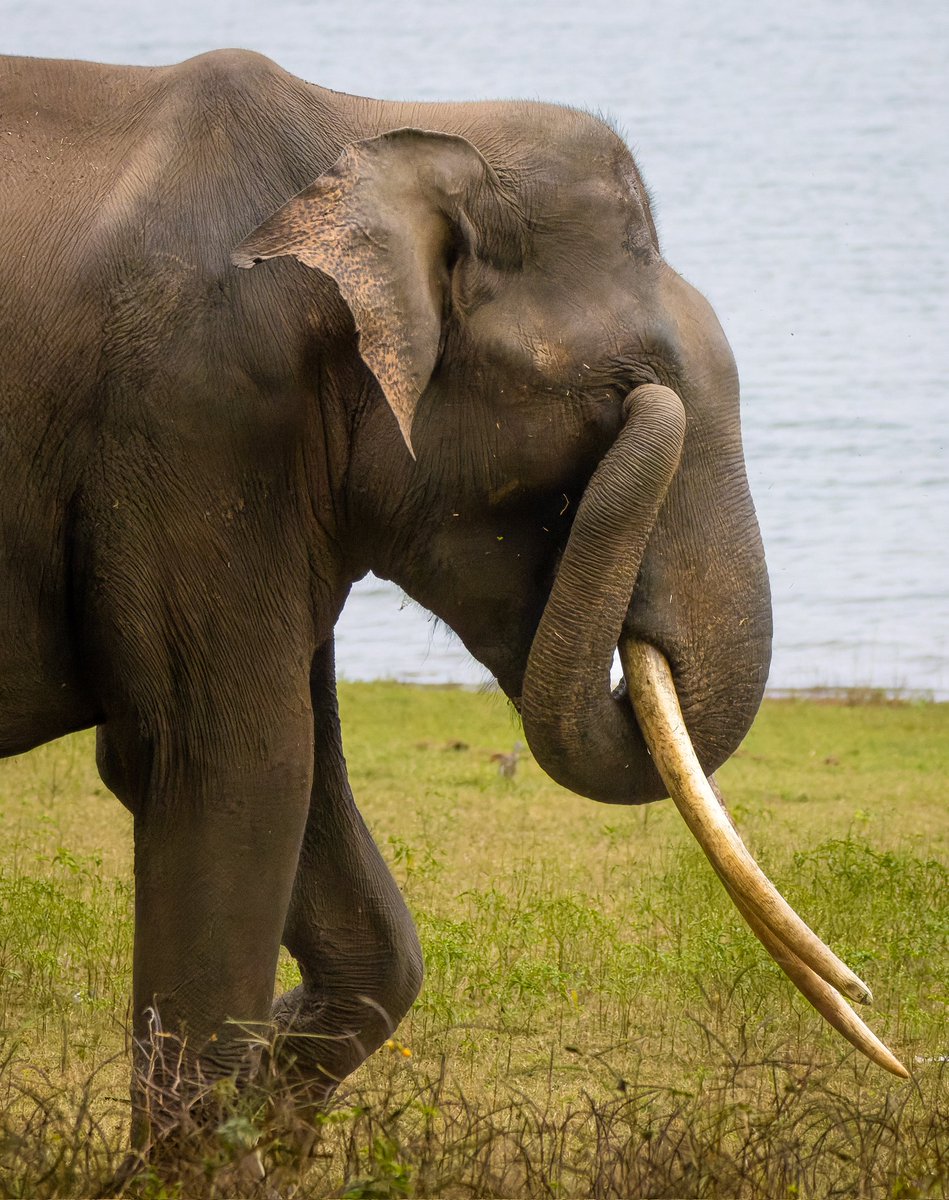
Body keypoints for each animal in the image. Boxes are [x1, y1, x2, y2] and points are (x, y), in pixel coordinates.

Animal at [0, 49, 907, 1142]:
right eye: (623, 388)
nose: (647, 411)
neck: (369, 125)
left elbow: (308, 785)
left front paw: (272, 1094)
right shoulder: (196, 421)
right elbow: (231, 768)